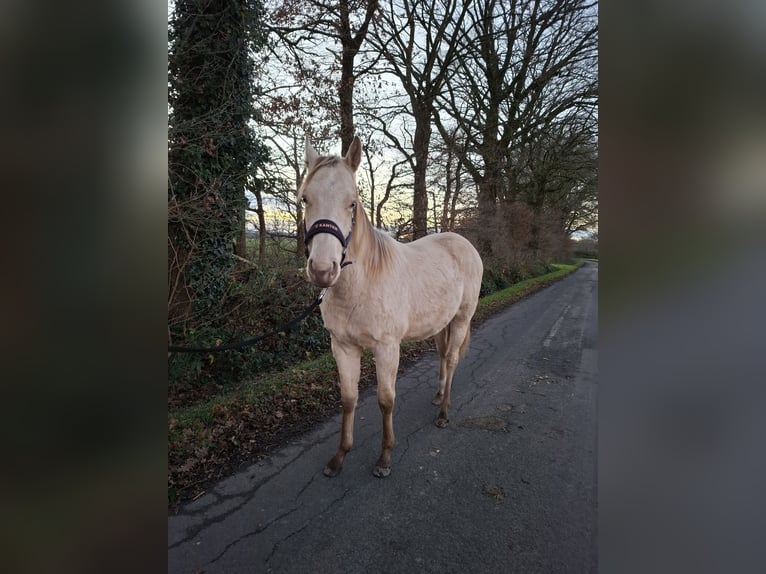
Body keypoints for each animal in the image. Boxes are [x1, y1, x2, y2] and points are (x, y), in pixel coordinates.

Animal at [298, 137, 484, 480]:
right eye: (305, 199)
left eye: (352, 203)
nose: (322, 270)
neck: (362, 284)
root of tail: (464, 243)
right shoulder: (342, 347)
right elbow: (348, 399)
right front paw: (339, 457)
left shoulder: (386, 348)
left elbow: (386, 401)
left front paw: (384, 458)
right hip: (441, 323)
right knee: (442, 356)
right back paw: (438, 396)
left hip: (462, 318)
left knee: (451, 359)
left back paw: (444, 412)